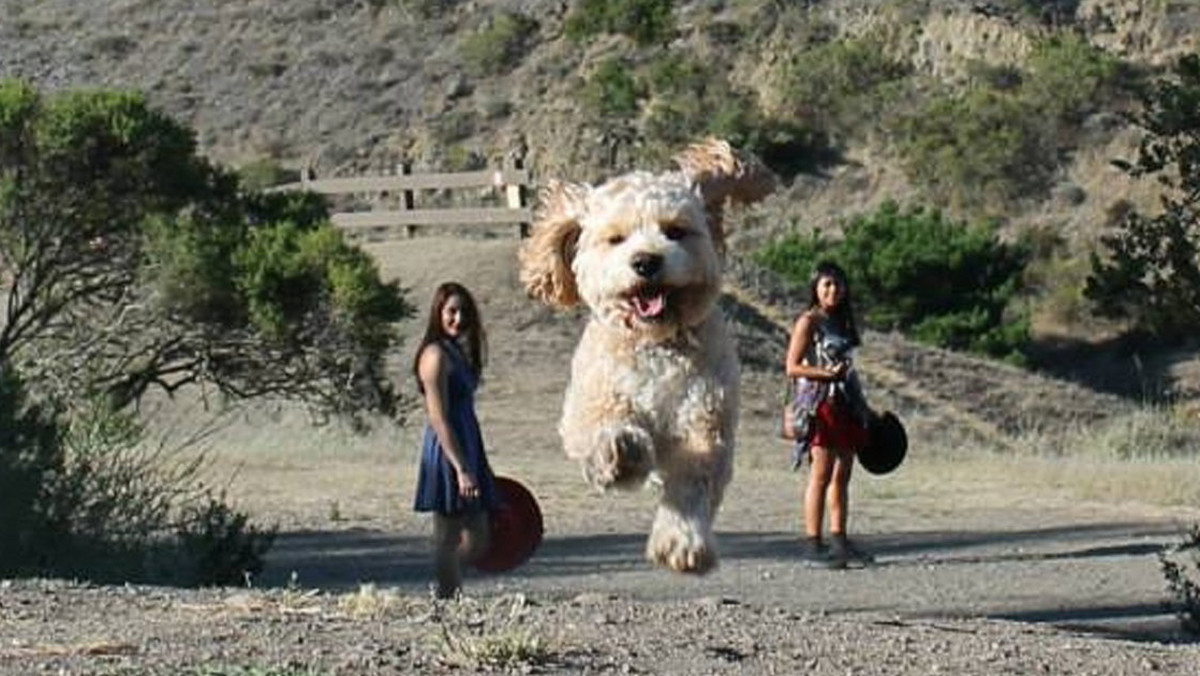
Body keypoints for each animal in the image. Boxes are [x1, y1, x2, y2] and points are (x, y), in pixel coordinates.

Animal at [520, 140, 772, 573]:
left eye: (675, 231)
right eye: (616, 238)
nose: (646, 261)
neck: (656, 343)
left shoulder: (704, 418)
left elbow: (693, 482)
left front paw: (682, 543)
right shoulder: (591, 402)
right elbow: (603, 428)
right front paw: (621, 453)